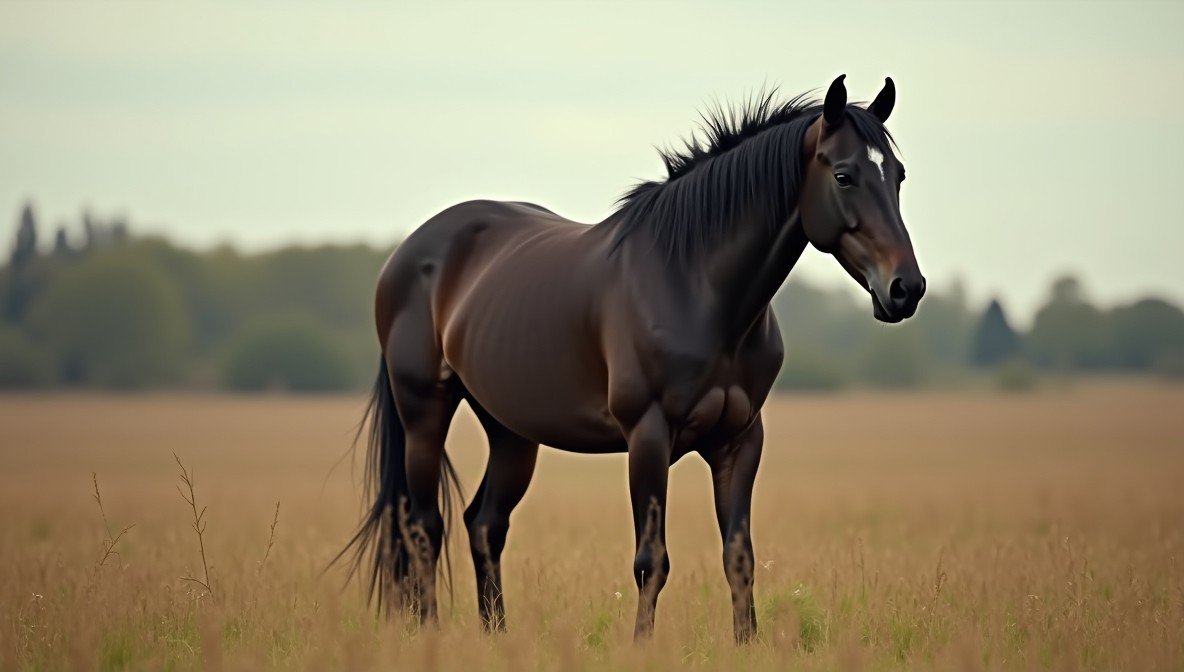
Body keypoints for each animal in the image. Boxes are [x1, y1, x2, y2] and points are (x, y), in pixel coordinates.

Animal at [341, 74, 925, 642]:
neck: (694, 285)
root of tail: (409, 252)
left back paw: (495, 638)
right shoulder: (648, 435)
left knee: (485, 524)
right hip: (425, 413)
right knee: (424, 527)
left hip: (510, 430)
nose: (906, 289)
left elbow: (739, 556)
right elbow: (652, 561)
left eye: (898, 175)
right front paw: (641, 645)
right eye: (845, 176)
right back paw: (429, 634)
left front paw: (748, 644)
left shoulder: (740, 440)